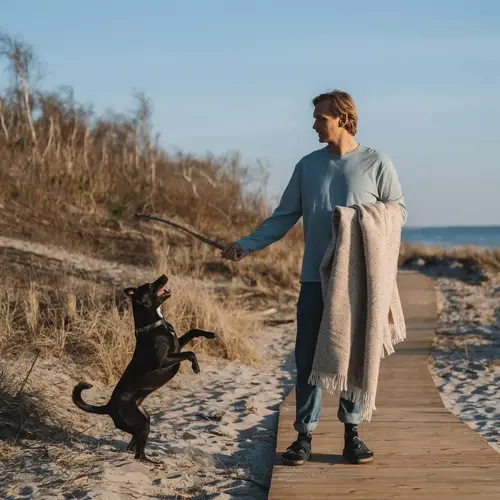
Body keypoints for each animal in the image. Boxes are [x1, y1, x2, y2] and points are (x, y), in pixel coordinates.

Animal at [72, 274, 217, 460]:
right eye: (150, 286)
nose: (164, 275)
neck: (154, 325)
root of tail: (108, 407)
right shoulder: (163, 361)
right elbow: (190, 353)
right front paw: (196, 367)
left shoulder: (178, 345)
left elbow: (193, 331)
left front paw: (209, 334)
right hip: (141, 423)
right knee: (138, 453)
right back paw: (151, 461)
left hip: (144, 421)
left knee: (133, 444)